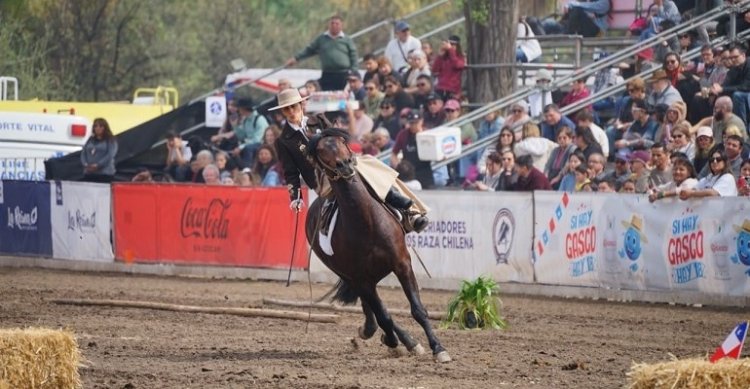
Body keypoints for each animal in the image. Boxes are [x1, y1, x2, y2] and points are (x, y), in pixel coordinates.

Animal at [306, 129, 452, 362]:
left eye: (341, 141)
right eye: (320, 151)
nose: (345, 164)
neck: (366, 222)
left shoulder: (402, 264)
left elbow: (418, 310)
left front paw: (438, 348)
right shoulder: (361, 279)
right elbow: (384, 315)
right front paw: (393, 340)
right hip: (354, 277)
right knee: (377, 310)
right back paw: (390, 336)